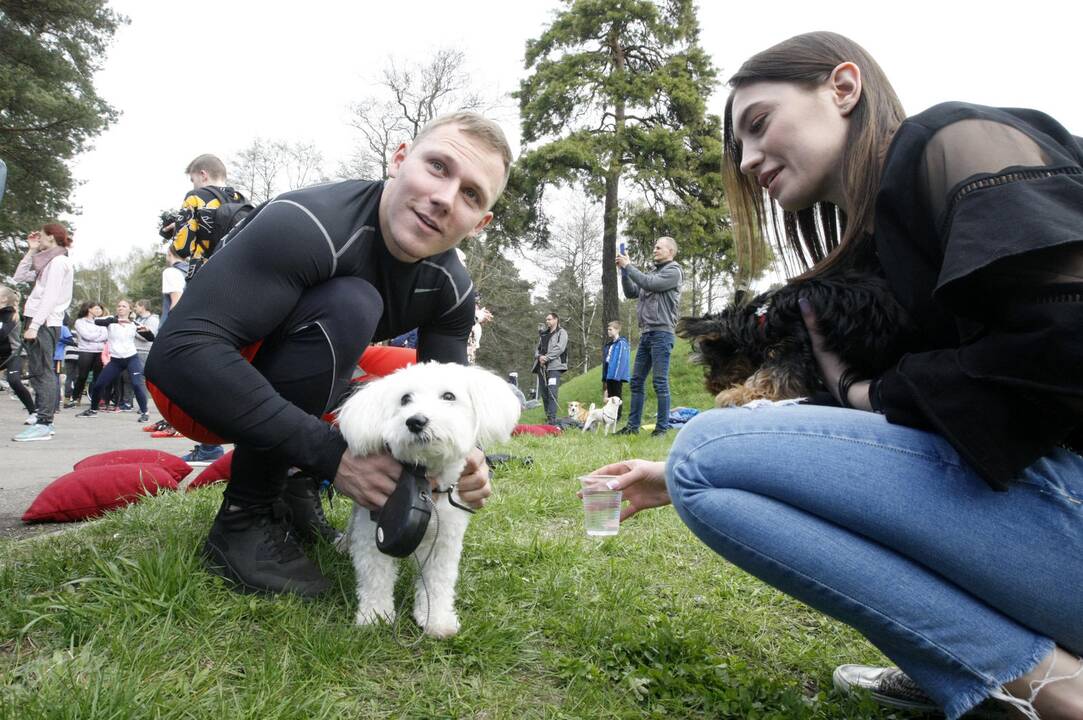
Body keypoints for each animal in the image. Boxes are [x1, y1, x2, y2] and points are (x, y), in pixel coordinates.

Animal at [333, 361, 519, 636]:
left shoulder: (444, 540)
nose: (416, 421)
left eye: (449, 396)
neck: (428, 488)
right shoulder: (373, 532)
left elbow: (438, 581)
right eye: (405, 399)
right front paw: (374, 616)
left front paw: (437, 619)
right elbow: (375, 576)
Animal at [680, 270, 909, 407]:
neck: (763, 321)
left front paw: (735, 394)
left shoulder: (795, 347)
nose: (711, 386)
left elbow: (773, 376)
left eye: (714, 361)